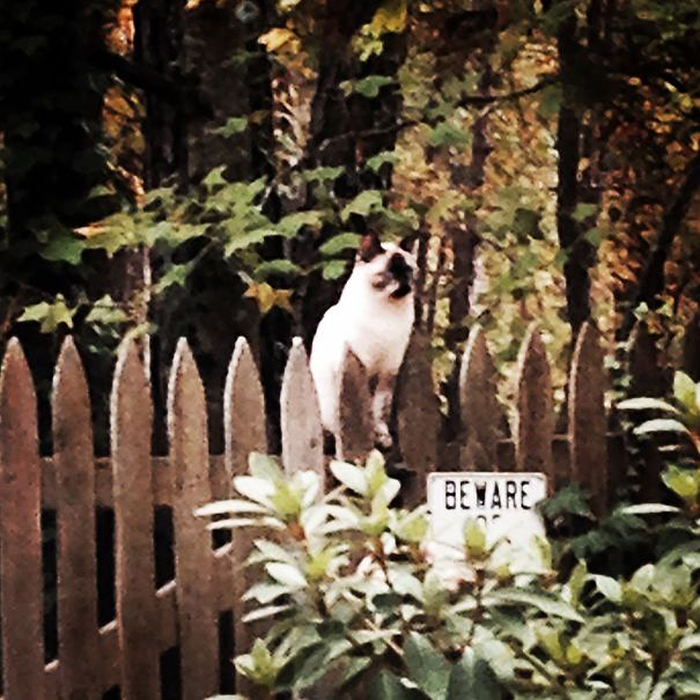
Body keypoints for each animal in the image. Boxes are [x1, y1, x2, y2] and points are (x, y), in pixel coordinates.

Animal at [309, 231, 416, 449]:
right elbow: (365, 406)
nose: (406, 284)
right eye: (389, 274)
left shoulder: (388, 370)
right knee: (330, 426)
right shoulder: (362, 365)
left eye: (408, 271)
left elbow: (379, 409)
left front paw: (382, 436)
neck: (387, 314)